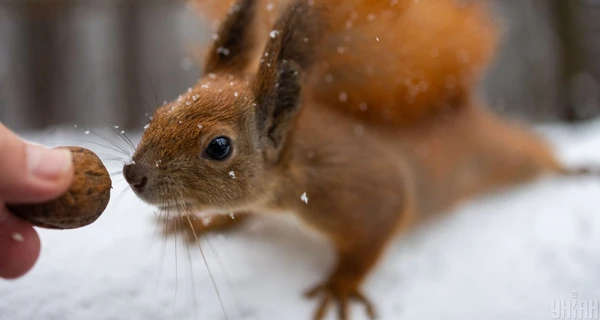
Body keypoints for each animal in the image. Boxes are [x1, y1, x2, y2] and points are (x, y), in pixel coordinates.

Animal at [124, 0, 592, 318]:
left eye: (219, 147)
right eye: (160, 112)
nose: (131, 173)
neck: (296, 164)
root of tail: (462, 110)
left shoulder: (360, 188)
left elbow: (379, 227)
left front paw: (339, 286)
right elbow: (241, 212)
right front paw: (204, 223)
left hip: (503, 156)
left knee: (534, 154)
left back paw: (572, 169)